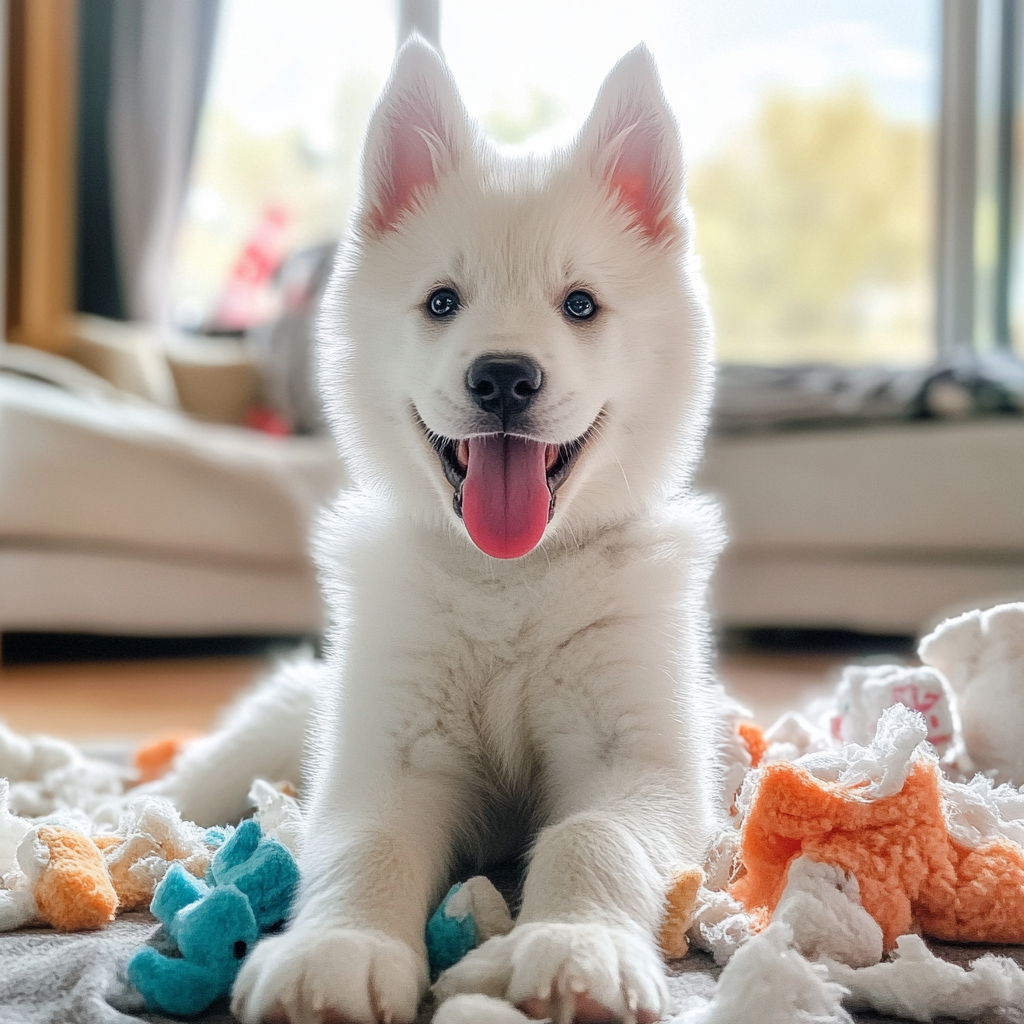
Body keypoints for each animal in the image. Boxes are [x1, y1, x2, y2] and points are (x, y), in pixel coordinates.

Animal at [155, 36, 724, 1019]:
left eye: (580, 304)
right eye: (442, 302)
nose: (503, 378)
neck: (510, 579)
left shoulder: (643, 761)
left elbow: (592, 835)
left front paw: (579, 948)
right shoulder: (393, 755)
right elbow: (367, 842)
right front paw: (337, 950)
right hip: (274, 731)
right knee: (184, 780)